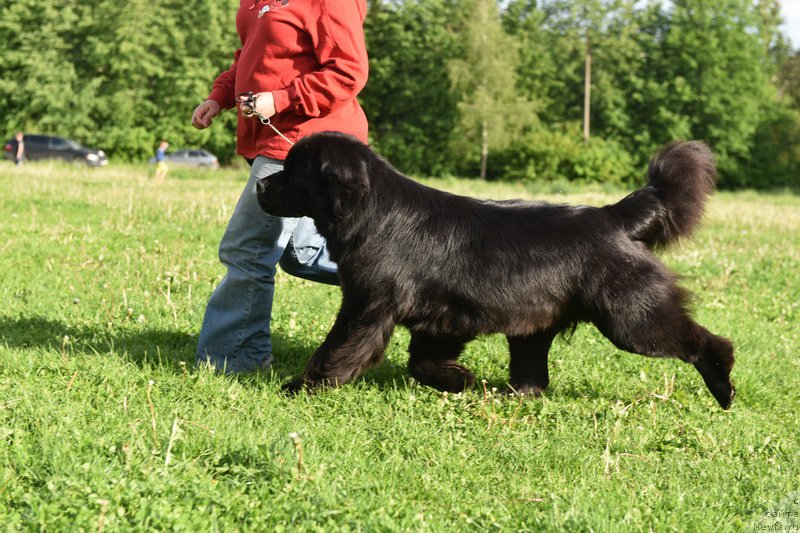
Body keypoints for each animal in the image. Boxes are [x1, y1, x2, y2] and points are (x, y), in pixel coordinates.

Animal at [260, 132, 736, 408]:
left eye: (294, 170)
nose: (262, 184)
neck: (370, 211)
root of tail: (612, 216)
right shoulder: (440, 317)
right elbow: (422, 361)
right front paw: (460, 381)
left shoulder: (367, 306)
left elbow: (339, 350)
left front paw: (305, 387)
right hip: (534, 326)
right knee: (534, 376)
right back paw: (506, 397)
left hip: (631, 318)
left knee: (702, 341)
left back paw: (724, 385)